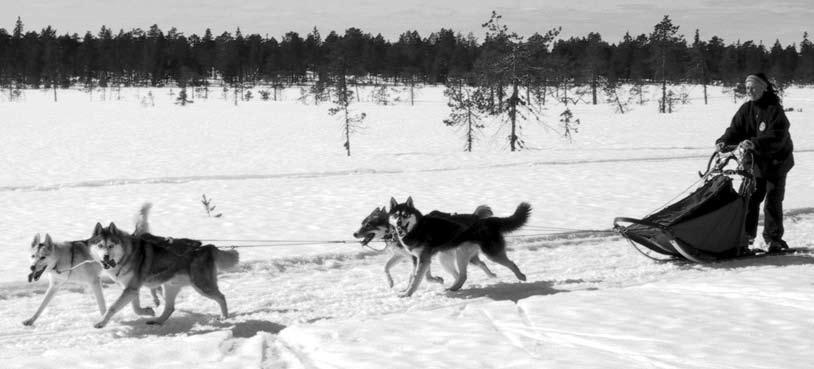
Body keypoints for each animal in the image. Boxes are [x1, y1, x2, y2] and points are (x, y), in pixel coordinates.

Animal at [23, 203, 161, 326]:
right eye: (33, 256)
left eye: (43, 257)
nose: (32, 267)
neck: (64, 259)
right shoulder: (55, 286)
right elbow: (41, 306)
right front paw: (31, 320)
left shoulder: (94, 282)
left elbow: (102, 305)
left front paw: (105, 320)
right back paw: (156, 299)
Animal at [88, 223, 239, 326]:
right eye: (100, 245)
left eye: (111, 245)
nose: (106, 257)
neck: (126, 255)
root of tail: (206, 247)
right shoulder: (131, 289)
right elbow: (136, 308)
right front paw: (148, 312)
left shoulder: (131, 289)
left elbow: (113, 307)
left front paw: (101, 323)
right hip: (170, 286)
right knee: (170, 308)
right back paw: (158, 320)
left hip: (202, 286)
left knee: (222, 297)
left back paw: (224, 317)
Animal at [356, 206, 498, 288]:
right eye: (362, 223)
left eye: (368, 225)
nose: (355, 233)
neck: (394, 231)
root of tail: (474, 216)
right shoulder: (401, 255)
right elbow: (386, 267)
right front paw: (391, 282)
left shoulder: (418, 257)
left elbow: (419, 275)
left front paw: (433, 280)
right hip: (446, 259)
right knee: (465, 270)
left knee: (479, 264)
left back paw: (491, 276)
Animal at [392, 196, 532, 296]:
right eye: (396, 215)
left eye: (405, 214)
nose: (398, 223)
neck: (417, 228)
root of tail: (487, 221)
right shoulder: (421, 258)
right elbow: (420, 276)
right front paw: (435, 280)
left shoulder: (424, 258)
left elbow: (416, 279)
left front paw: (407, 294)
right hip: (456, 255)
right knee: (463, 274)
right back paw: (454, 287)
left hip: (487, 254)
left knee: (510, 263)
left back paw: (521, 276)